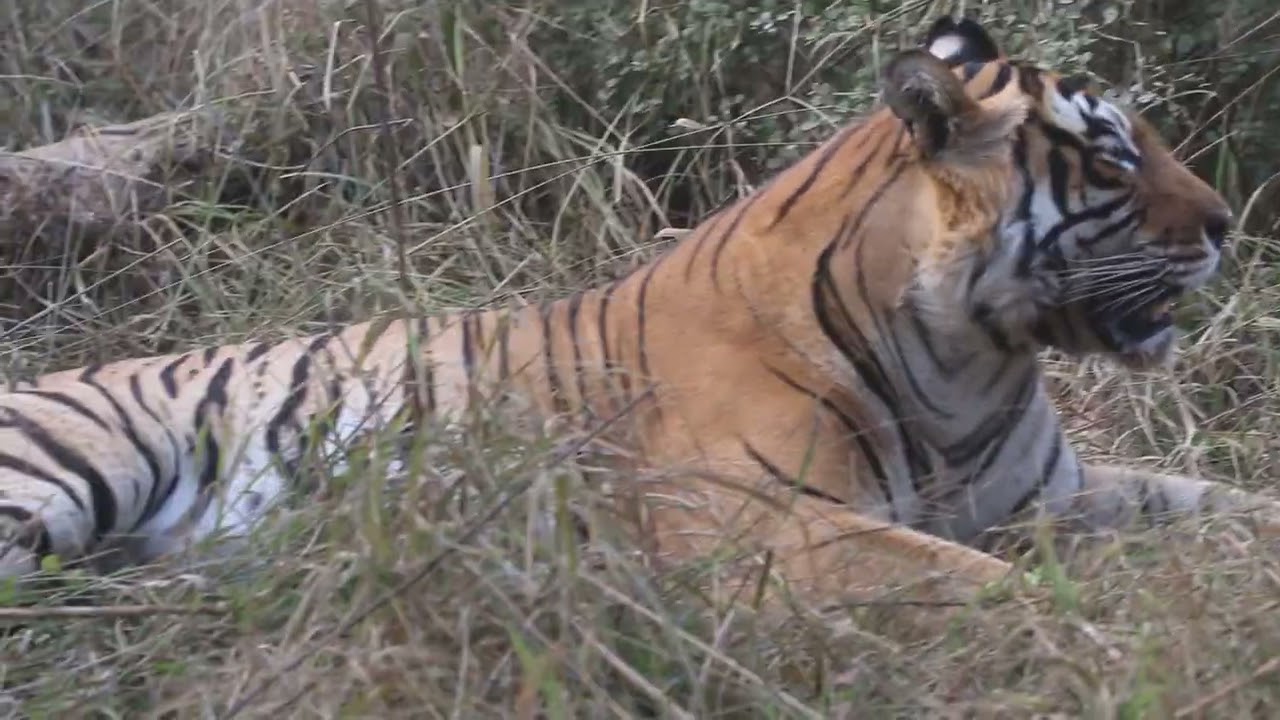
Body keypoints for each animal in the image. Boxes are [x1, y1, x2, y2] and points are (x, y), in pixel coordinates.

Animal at [1, 16, 1278, 615]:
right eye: (1109, 161)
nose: (1226, 223)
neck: (970, 357)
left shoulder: (1051, 495)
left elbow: (1225, 506)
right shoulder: (756, 524)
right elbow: (981, 582)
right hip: (62, 473)